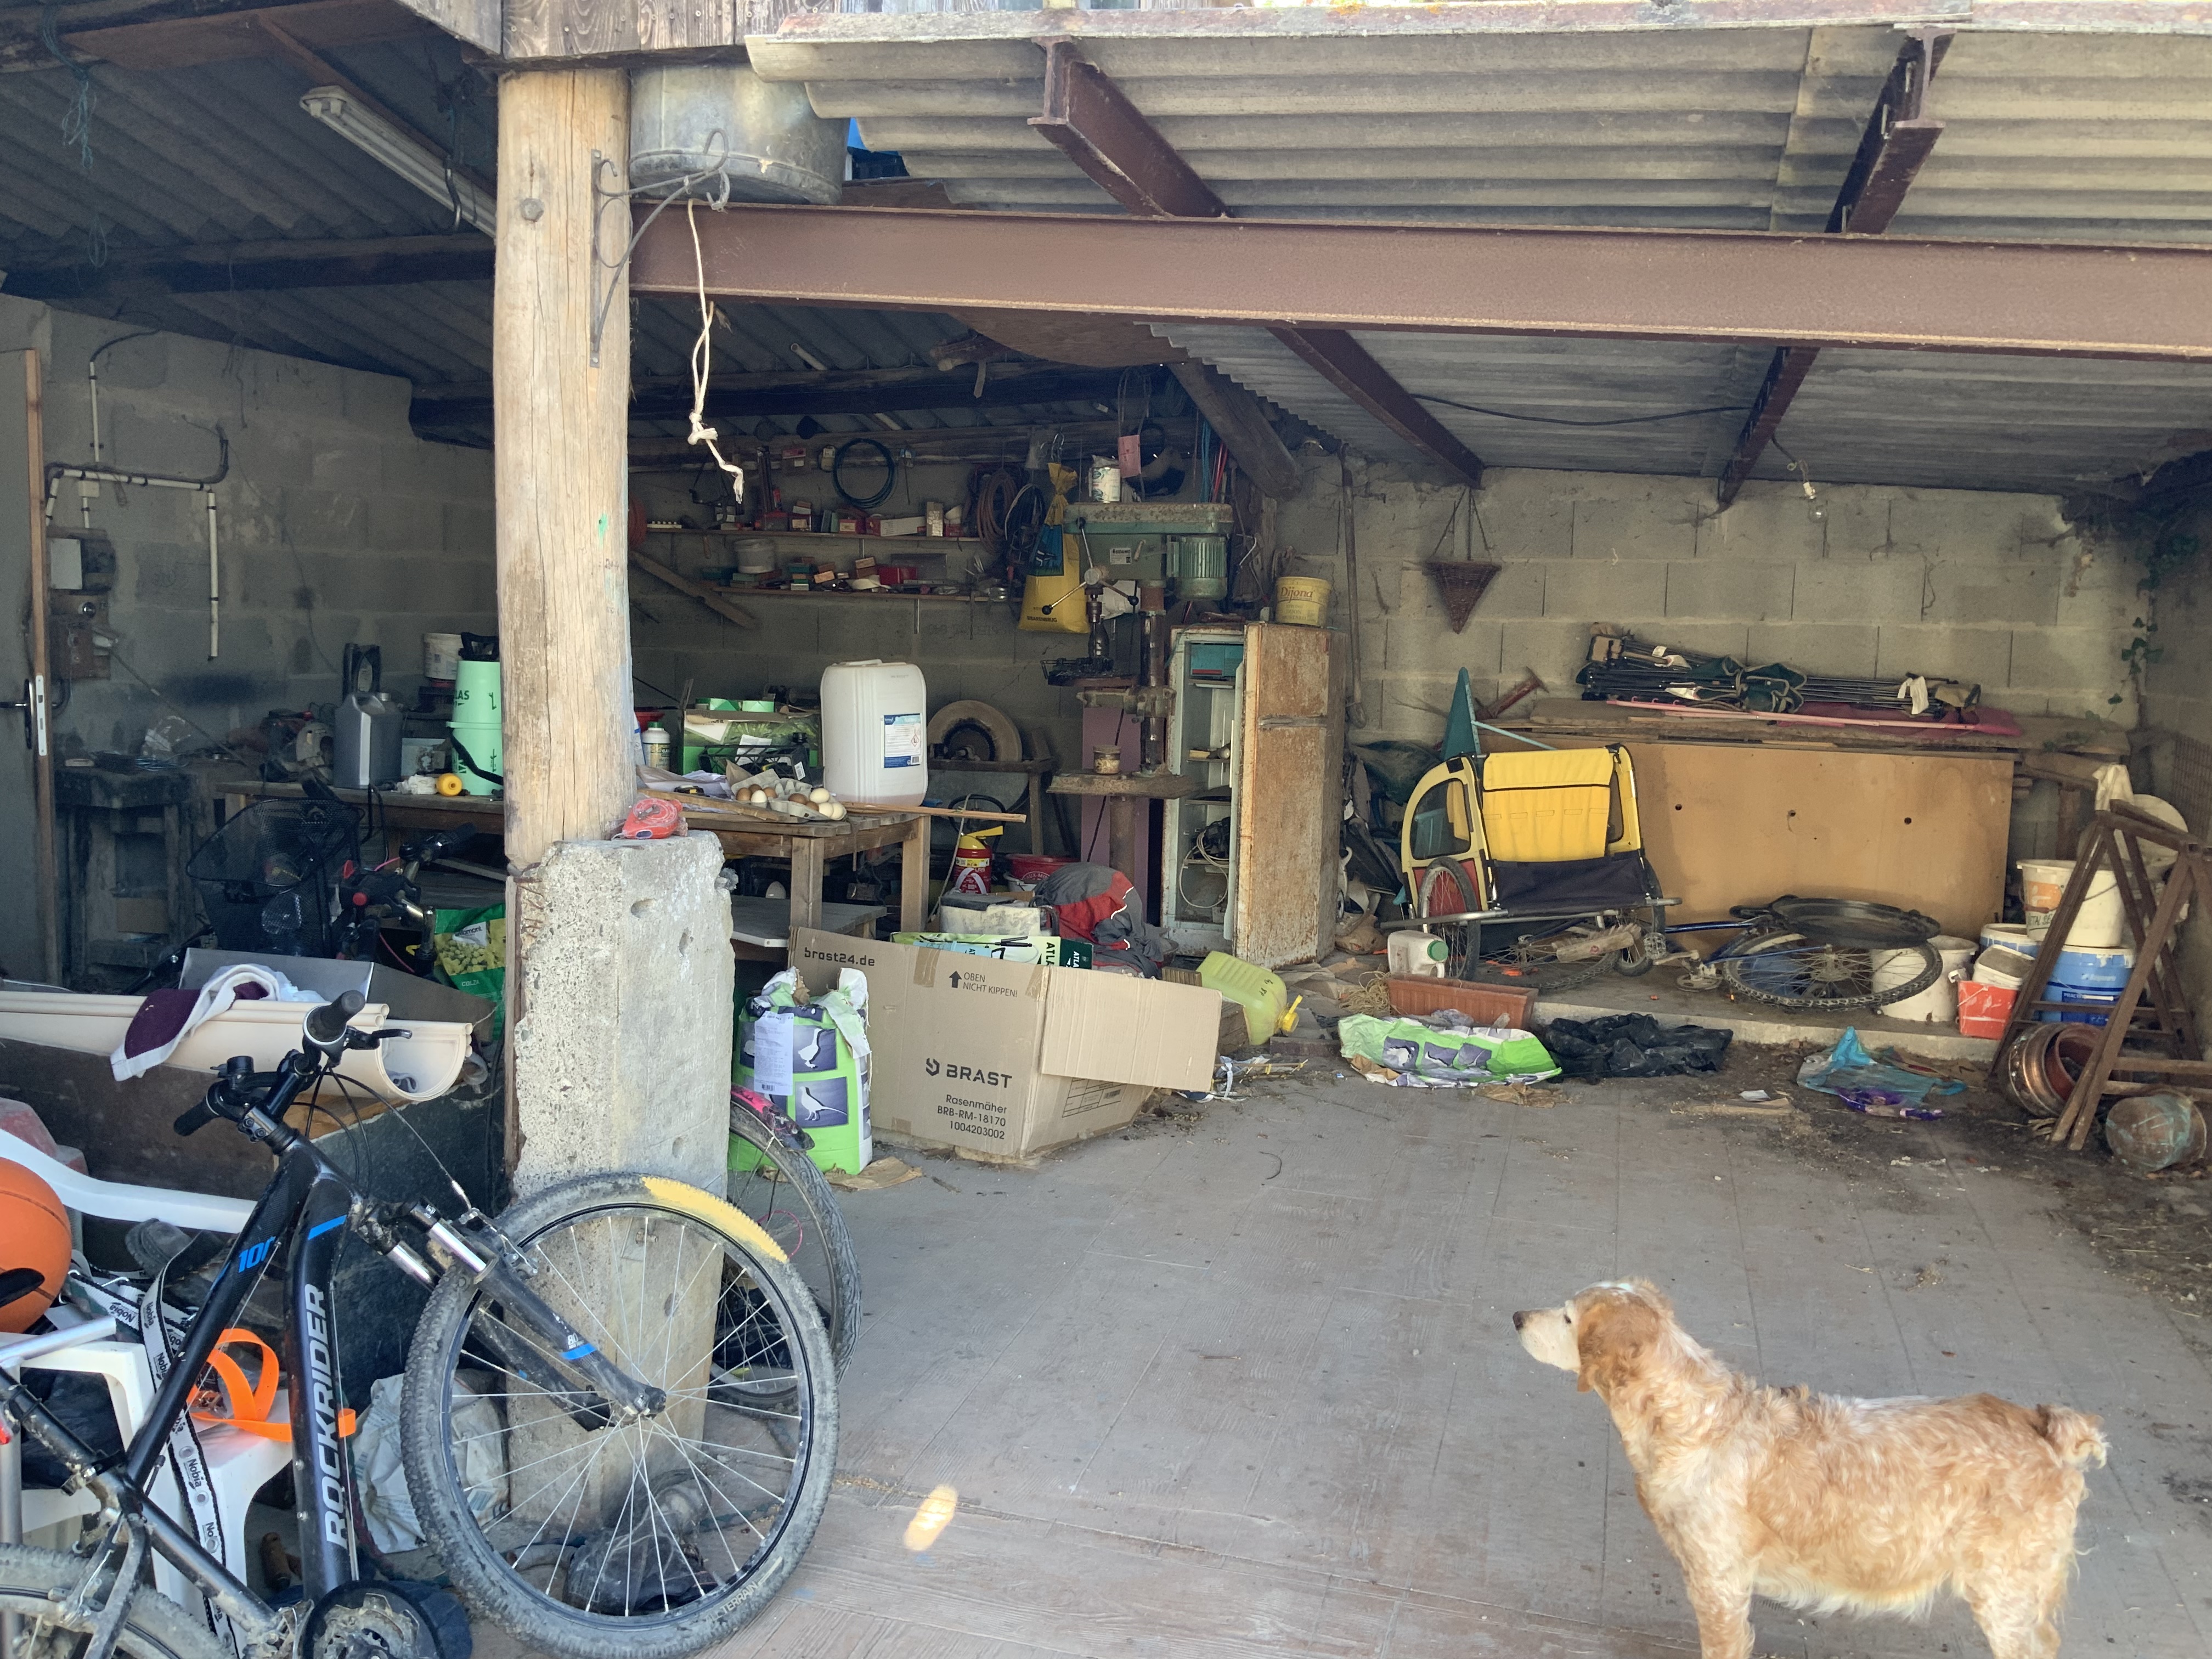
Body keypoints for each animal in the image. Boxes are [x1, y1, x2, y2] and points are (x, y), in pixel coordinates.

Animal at [1513, 1280, 2107, 1659]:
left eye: (1567, 1317)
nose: (1517, 1316)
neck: (1696, 1419)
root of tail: (2051, 1429)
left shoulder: (1719, 1584)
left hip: (2004, 1592)